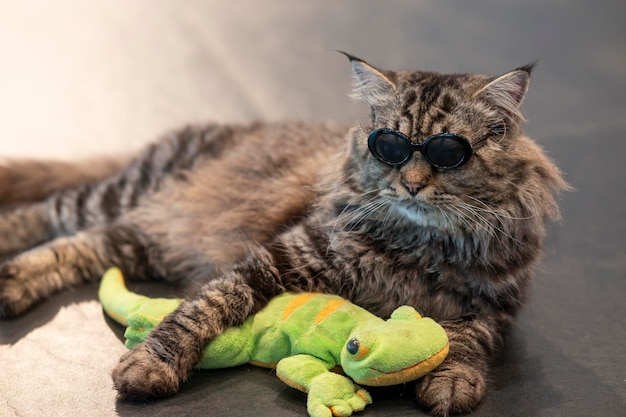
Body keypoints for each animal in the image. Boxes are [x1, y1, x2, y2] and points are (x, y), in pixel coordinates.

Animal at [0, 53, 564, 414]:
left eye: (450, 153)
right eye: (391, 147)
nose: (411, 182)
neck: (421, 247)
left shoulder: (492, 306)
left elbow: (466, 342)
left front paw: (450, 382)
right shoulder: (282, 256)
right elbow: (203, 307)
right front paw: (149, 365)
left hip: (143, 239)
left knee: (82, 246)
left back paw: (14, 286)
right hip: (128, 195)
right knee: (50, 213)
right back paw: (9, 264)